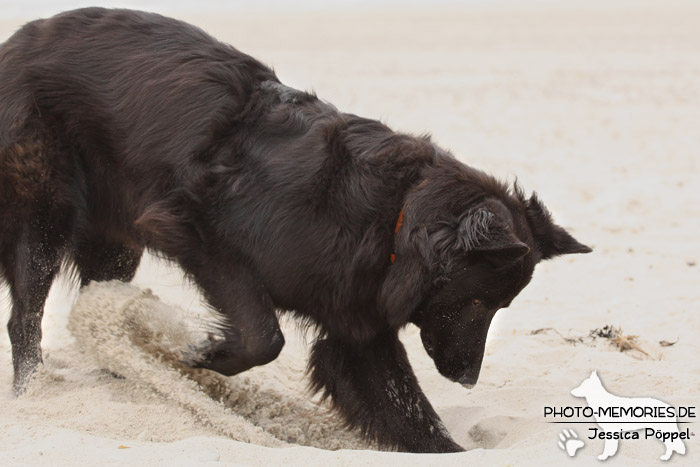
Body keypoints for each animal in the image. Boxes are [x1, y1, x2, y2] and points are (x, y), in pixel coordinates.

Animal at [0, 7, 592, 454]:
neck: (391, 218)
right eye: (479, 302)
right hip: (44, 215)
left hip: (114, 245)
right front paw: (200, 355)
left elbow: (410, 414)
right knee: (24, 317)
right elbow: (265, 337)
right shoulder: (200, 233)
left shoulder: (357, 329)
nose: (468, 379)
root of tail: (20, 39)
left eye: (499, 307)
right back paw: (35, 392)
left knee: (93, 301)